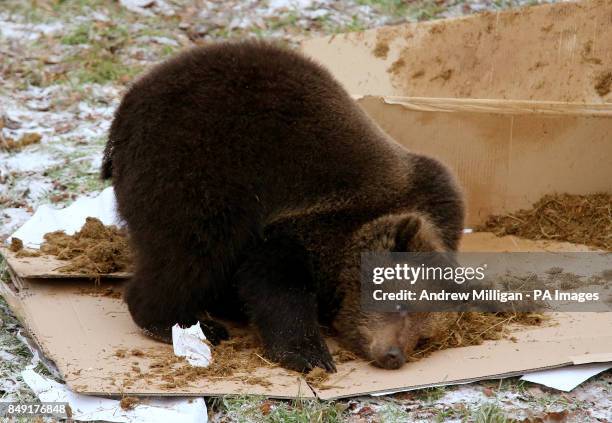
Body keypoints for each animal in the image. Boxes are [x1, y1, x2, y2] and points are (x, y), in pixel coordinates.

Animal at [101, 39, 464, 372]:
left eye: (423, 336)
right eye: (400, 303)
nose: (393, 355)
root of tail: (127, 105)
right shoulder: (307, 216)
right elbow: (277, 283)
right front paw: (310, 354)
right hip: (191, 165)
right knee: (190, 250)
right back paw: (184, 322)